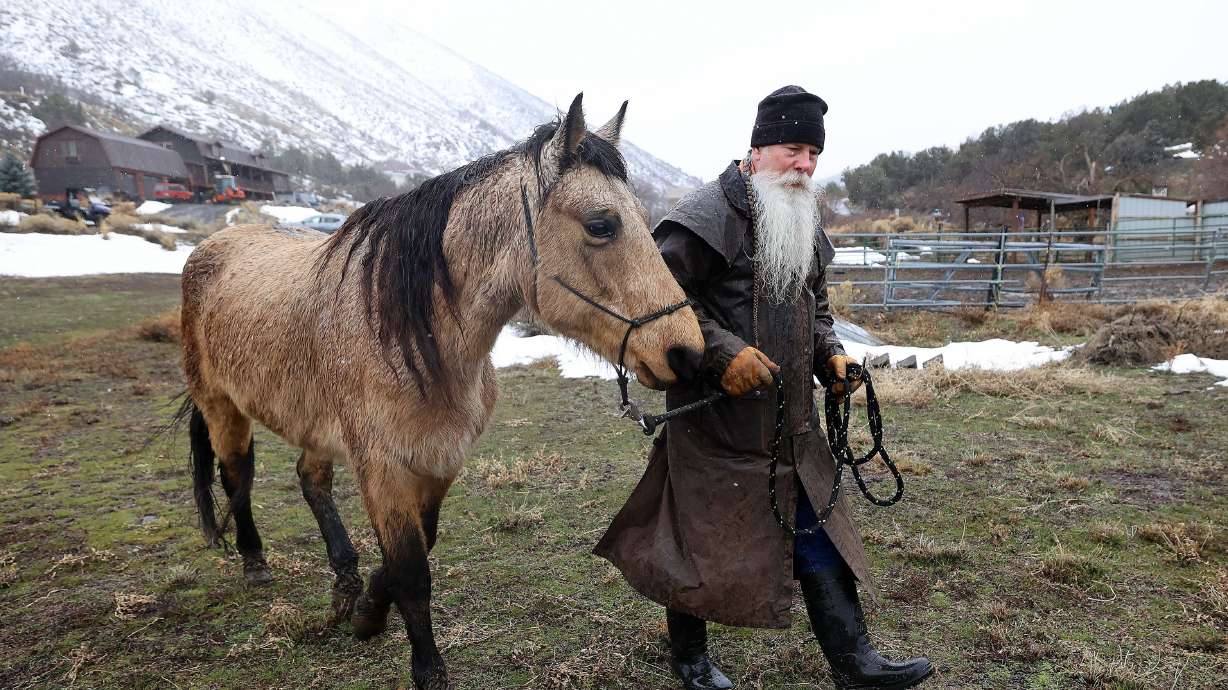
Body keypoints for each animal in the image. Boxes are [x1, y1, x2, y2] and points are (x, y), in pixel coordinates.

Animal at [178, 94, 704, 689]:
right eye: (601, 224)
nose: (686, 353)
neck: (411, 337)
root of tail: (213, 245)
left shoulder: (439, 459)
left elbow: (414, 551)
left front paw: (367, 609)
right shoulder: (383, 468)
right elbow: (411, 571)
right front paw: (426, 668)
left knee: (310, 481)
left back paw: (344, 581)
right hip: (223, 409)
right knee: (237, 478)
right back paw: (254, 562)